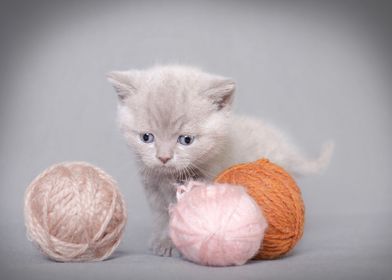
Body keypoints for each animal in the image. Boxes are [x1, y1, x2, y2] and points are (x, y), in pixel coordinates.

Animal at [107, 64, 334, 258]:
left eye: (186, 140)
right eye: (146, 137)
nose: (163, 157)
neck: (168, 178)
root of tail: (283, 146)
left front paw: (177, 243)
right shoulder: (153, 190)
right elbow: (161, 216)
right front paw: (162, 241)